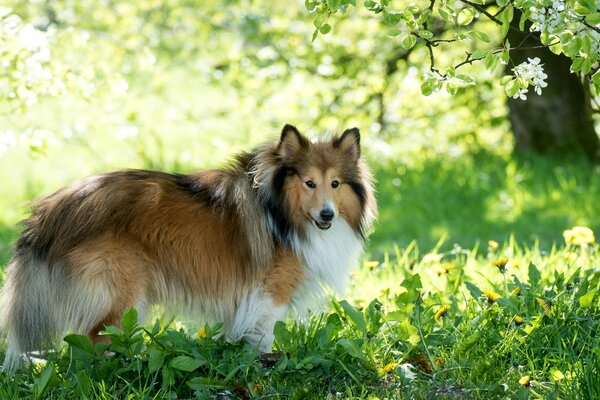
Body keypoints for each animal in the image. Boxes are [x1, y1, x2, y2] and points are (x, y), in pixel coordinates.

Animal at [0, 123, 376, 370]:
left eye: (335, 184)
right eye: (309, 183)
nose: (327, 214)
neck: (280, 208)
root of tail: (51, 211)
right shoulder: (270, 291)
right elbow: (263, 335)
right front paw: (262, 366)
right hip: (121, 291)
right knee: (97, 337)